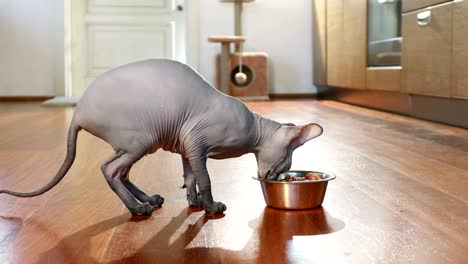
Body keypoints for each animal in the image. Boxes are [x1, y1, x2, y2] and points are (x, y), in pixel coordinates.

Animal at [0, 59, 322, 217]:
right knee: (110, 170)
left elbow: (190, 177)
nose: (275, 179)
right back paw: (137, 208)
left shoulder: (187, 146)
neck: (254, 129)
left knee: (118, 171)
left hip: (135, 144)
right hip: (142, 139)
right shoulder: (195, 142)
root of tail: (78, 110)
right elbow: (205, 178)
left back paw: (149, 199)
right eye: (282, 165)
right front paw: (211, 207)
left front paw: (194, 202)